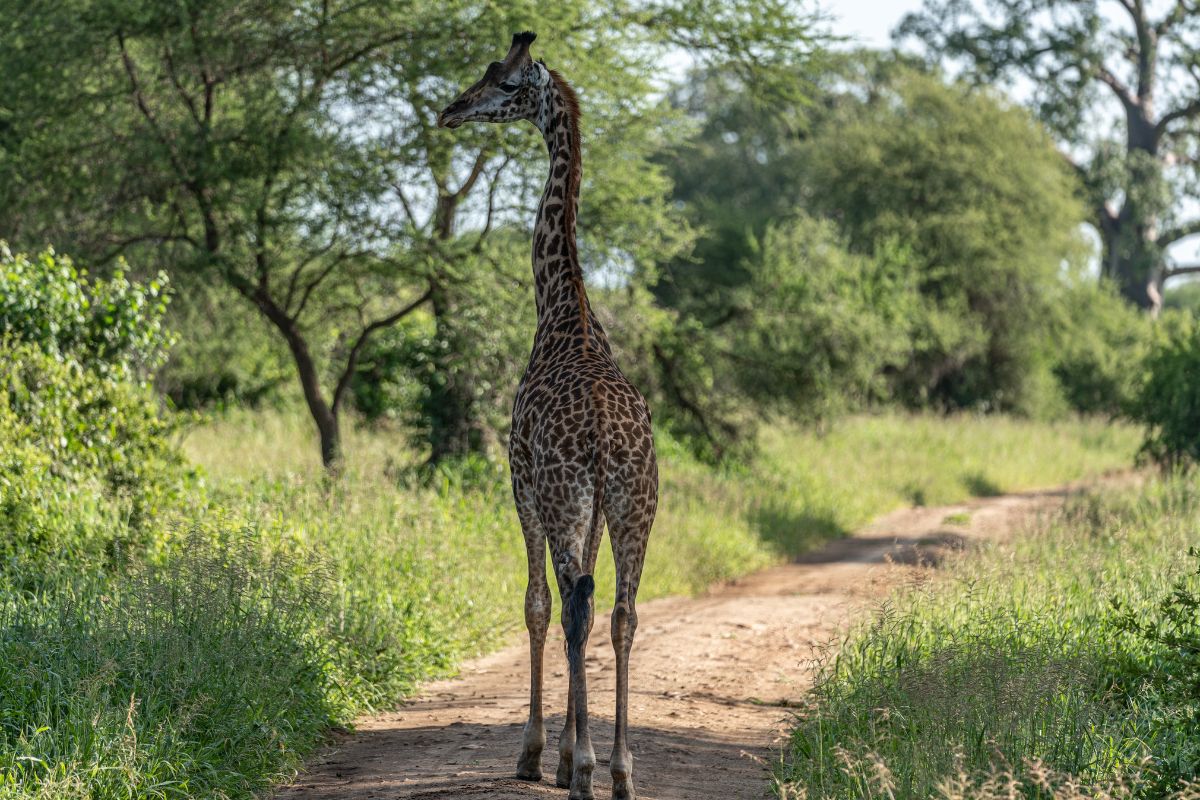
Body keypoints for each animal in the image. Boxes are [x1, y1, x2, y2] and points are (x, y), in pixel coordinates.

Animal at [438, 31, 658, 800]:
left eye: (504, 83)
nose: (451, 109)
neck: (564, 310)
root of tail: (607, 439)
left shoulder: (521, 486)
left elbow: (535, 604)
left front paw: (540, 754)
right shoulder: (589, 511)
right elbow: (581, 607)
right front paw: (567, 752)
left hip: (566, 499)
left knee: (573, 609)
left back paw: (588, 769)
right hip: (634, 507)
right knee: (618, 612)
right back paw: (620, 768)